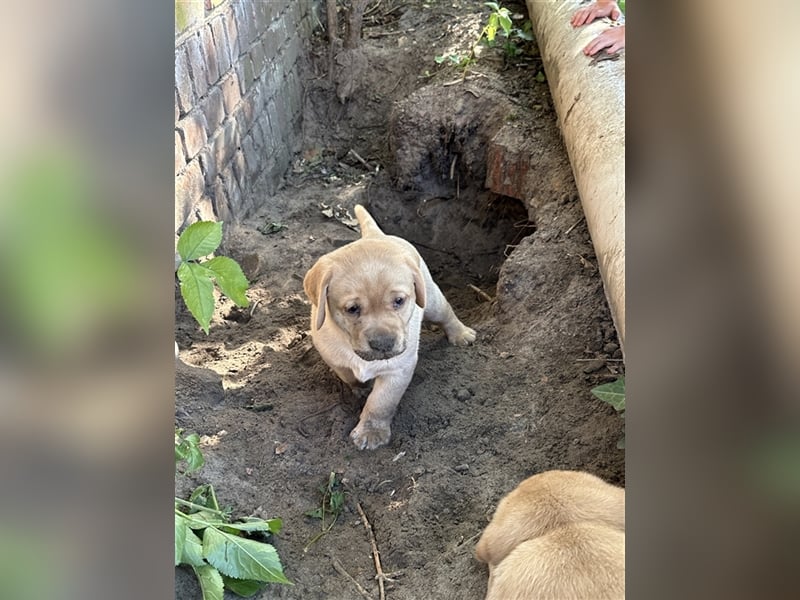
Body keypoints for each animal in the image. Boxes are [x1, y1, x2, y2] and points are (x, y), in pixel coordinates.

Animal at [302, 204, 476, 448]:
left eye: (399, 301)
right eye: (352, 309)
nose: (384, 344)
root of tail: (377, 235)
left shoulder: (398, 368)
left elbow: (381, 402)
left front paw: (371, 431)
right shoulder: (332, 356)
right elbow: (347, 374)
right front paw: (360, 388)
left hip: (432, 299)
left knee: (447, 313)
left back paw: (461, 334)